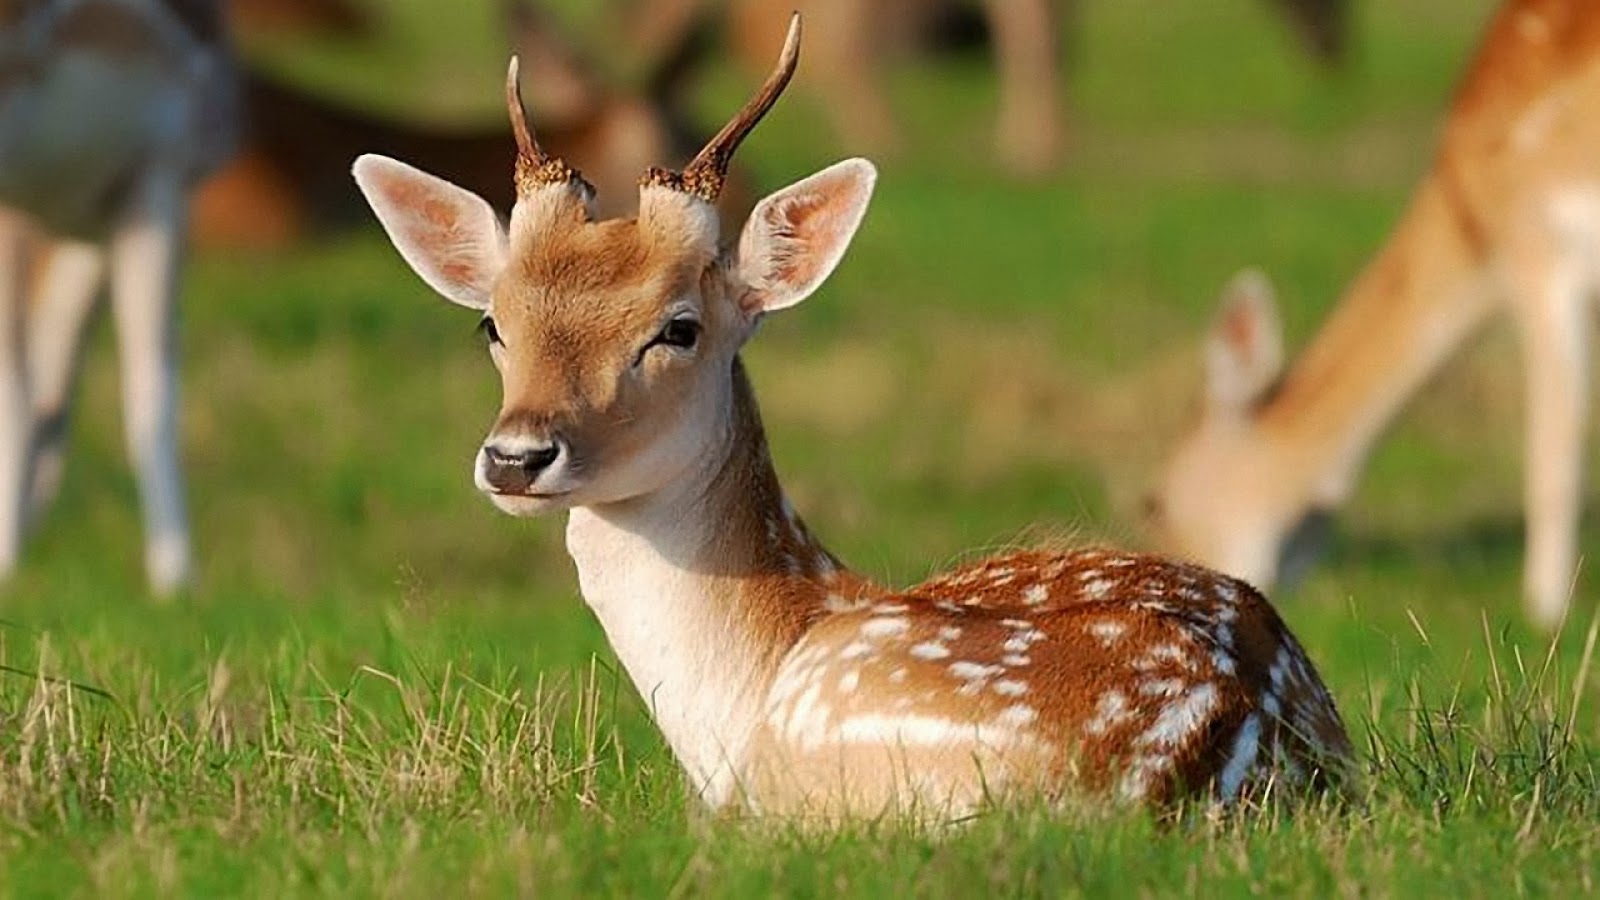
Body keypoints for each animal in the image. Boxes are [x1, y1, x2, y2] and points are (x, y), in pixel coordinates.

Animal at [1152, 0, 1600, 630]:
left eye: (1155, 501)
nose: (1175, 575)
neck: (1473, 225)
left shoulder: (1542, 250)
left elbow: (1553, 449)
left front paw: (1546, 610)